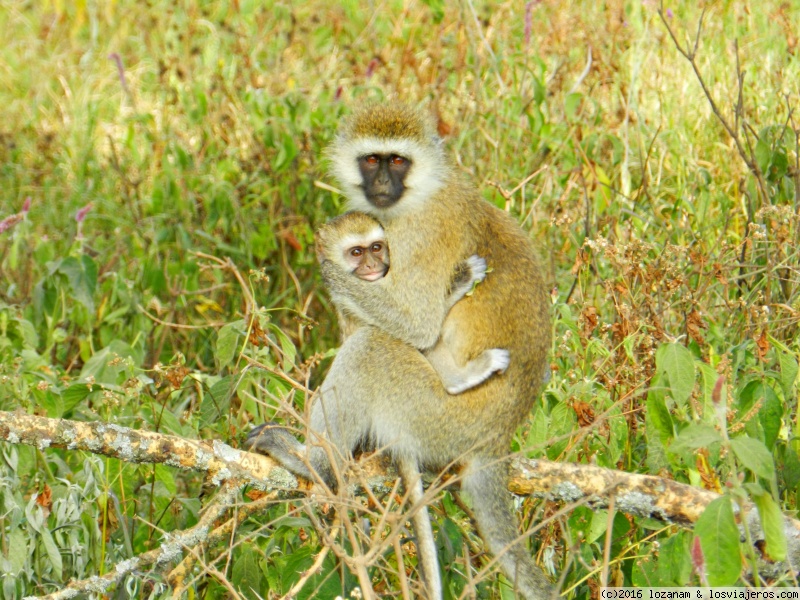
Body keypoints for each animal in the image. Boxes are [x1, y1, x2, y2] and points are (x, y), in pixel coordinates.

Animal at [316, 213, 510, 396]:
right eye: (356, 252)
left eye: (376, 248)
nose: (372, 265)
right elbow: (420, 329)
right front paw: (461, 280)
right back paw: (458, 380)